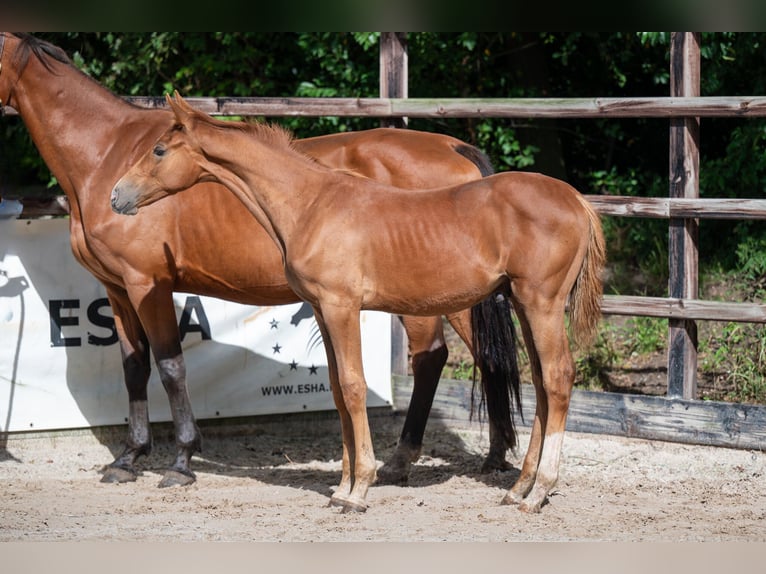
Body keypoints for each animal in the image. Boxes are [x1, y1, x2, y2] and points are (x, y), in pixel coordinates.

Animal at [0, 32, 520, 486]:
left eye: (160, 151)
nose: (118, 197)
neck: (104, 152)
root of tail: (453, 147)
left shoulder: (148, 284)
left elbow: (170, 367)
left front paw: (181, 461)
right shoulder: (117, 289)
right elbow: (134, 369)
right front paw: (128, 459)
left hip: (431, 301)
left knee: (432, 359)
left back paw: (401, 463)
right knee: (486, 356)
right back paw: (495, 457)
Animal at [112, 94, 608, 516]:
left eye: (159, 150)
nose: (117, 196)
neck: (311, 204)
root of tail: (575, 198)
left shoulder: (341, 307)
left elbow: (353, 386)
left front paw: (358, 490)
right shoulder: (320, 309)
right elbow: (336, 389)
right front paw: (341, 487)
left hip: (541, 303)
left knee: (558, 377)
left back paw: (538, 491)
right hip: (523, 304)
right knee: (541, 381)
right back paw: (519, 487)